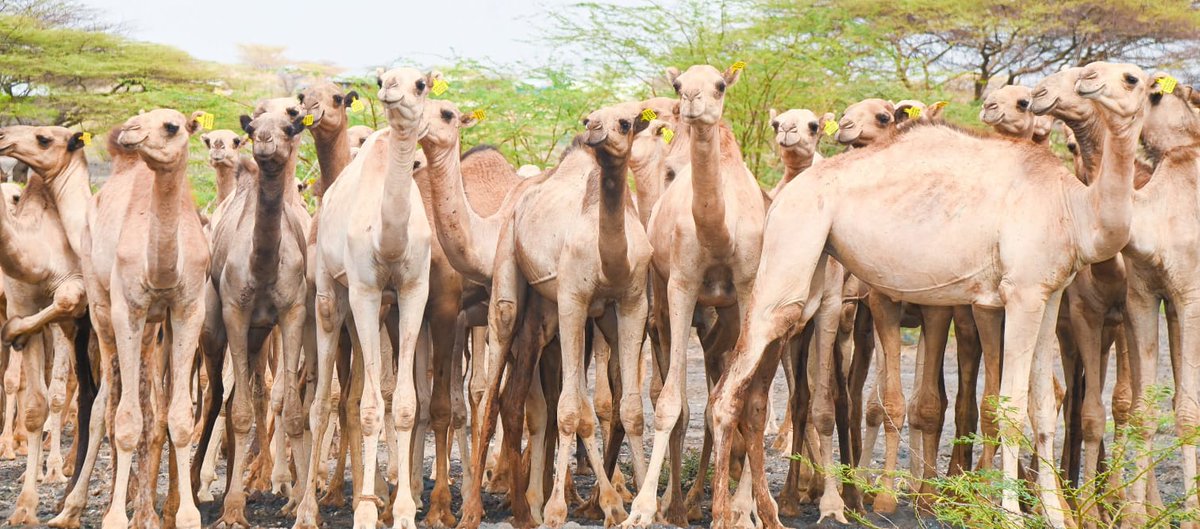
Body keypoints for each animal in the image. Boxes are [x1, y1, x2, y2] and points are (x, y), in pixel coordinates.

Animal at [293, 67, 434, 529]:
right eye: (380, 78)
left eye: (420, 84)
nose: (390, 90)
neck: (387, 239)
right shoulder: (366, 292)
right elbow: (371, 408)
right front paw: (368, 512)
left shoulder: (412, 292)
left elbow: (404, 403)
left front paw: (403, 510)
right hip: (329, 295)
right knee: (321, 402)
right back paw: (307, 509)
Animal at [706, 62, 1150, 529]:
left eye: (1131, 78)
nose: (1080, 84)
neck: (1073, 208)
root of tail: (778, 196)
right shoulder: (1021, 293)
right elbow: (1011, 408)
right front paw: (1010, 514)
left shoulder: (1050, 292)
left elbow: (1043, 408)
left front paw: (1057, 515)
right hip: (793, 243)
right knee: (727, 392)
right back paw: (724, 513)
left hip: (809, 274)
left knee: (757, 386)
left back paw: (769, 514)